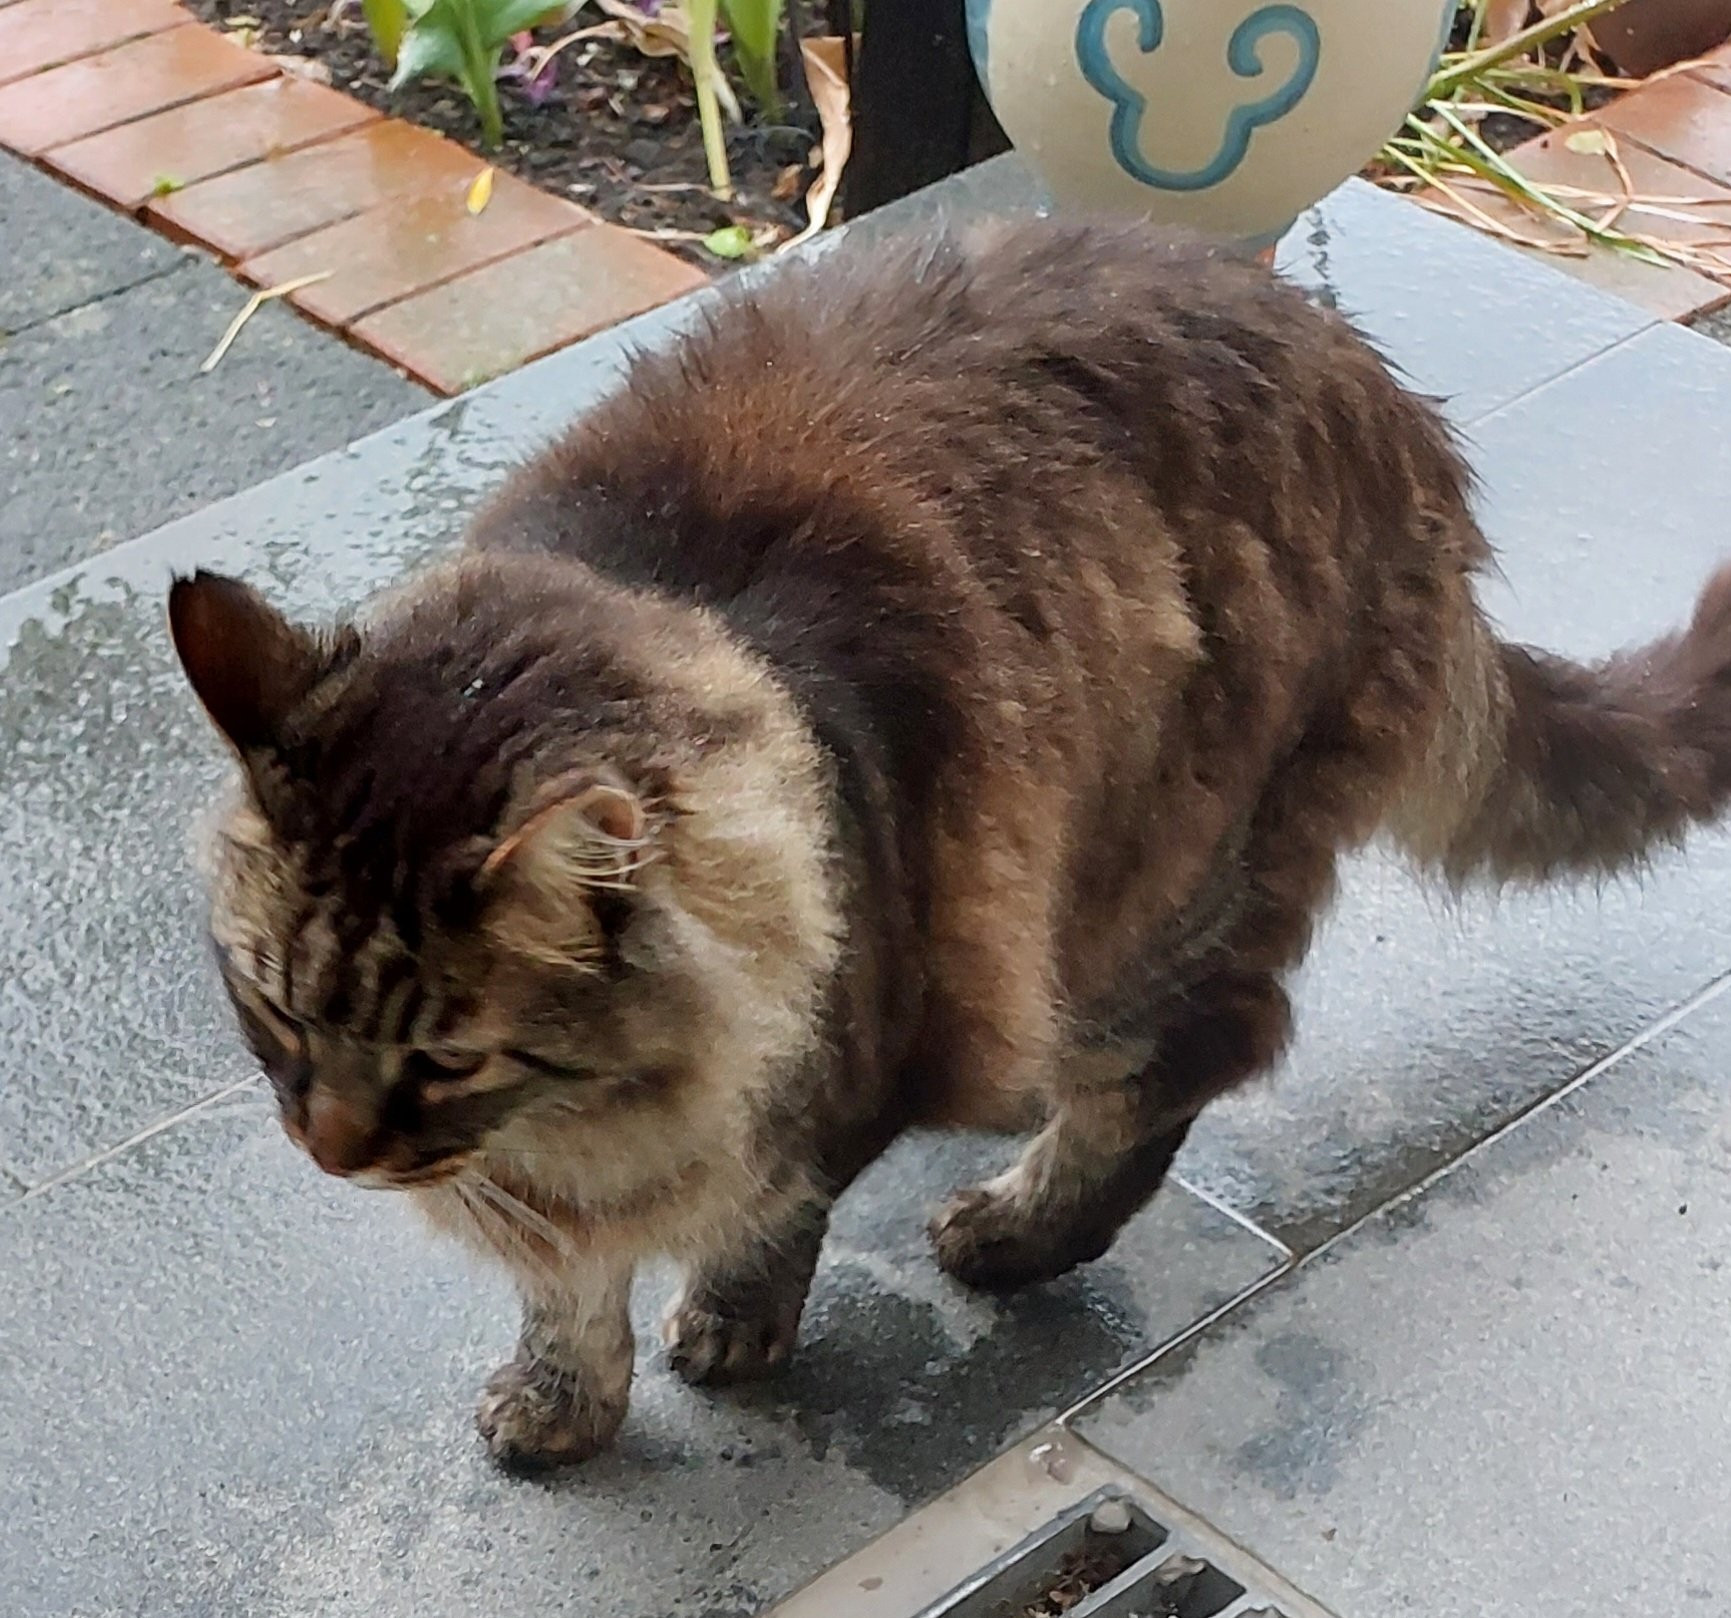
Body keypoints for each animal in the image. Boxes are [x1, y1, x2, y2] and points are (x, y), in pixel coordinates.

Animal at [169, 219, 1731, 1469]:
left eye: (443, 1059)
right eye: (273, 1011)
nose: (326, 1150)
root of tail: (1391, 404)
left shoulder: (862, 1045)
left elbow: (765, 1212)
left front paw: (728, 1325)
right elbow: (563, 1282)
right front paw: (560, 1395)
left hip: (1153, 896)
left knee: (1189, 1062)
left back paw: (1018, 1232)